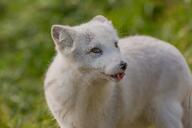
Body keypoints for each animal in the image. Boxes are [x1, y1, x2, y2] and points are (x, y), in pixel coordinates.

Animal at [44, 15, 191, 127]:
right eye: (95, 50)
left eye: (115, 44)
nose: (124, 65)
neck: (84, 98)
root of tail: (177, 51)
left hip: (165, 114)